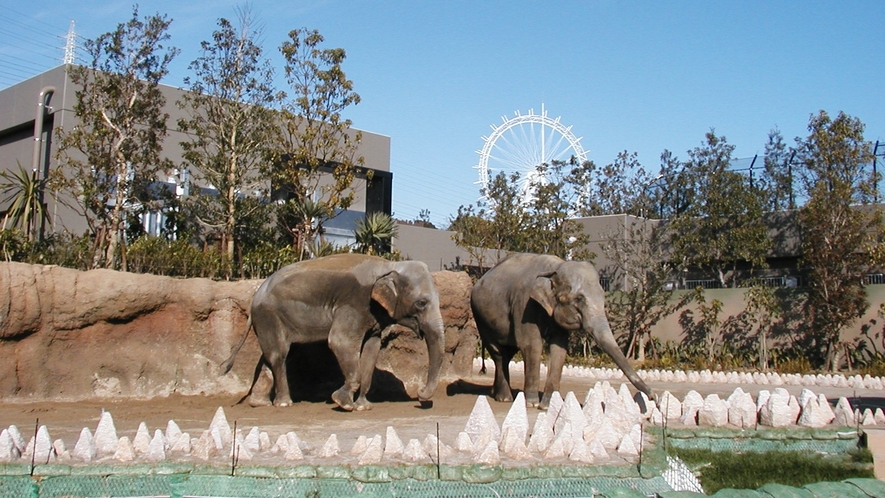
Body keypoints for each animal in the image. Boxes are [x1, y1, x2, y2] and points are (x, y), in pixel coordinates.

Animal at [221, 253, 442, 412]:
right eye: (421, 303)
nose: (420, 393)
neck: (388, 266)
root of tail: (255, 297)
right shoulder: (354, 303)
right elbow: (340, 342)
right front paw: (342, 403)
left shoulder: (373, 315)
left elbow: (371, 350)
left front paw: (363, 407)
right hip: (269, 315)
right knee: (279, 355)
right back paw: (284, 403)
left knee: (272, 355)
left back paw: (260, 404)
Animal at [474, 253, 652, 408]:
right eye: (579, 298)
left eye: (603, 295)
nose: (653, 398)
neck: (554, 268)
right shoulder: (523, 304)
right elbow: (532, 345)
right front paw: (532, 404)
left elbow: (559, 348)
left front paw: (548, 405)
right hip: (481, 319)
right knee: (498, 353)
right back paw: (505, 398)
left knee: (508, 353)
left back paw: (497, 394)